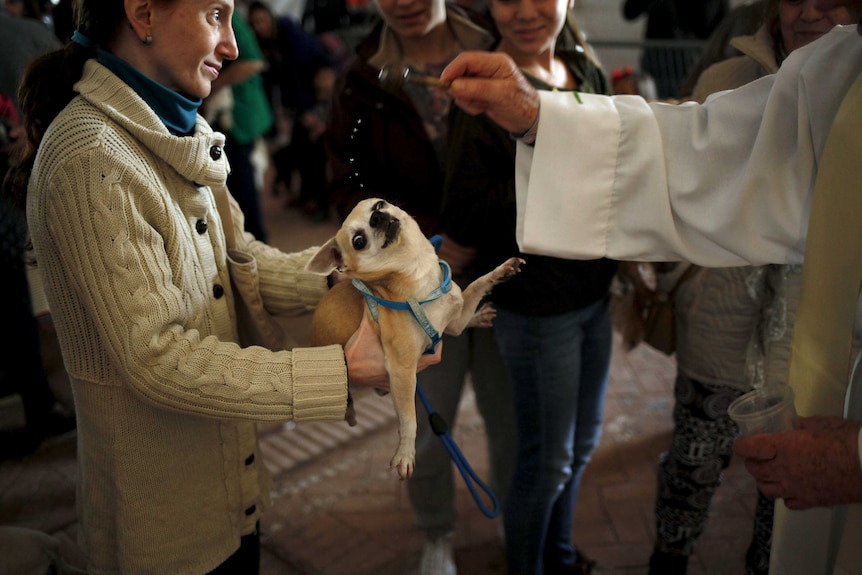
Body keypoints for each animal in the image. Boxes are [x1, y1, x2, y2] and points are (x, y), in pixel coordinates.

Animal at [308, 200, 524, 480]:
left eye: (378, 204)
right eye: (358, 241)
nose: (378, 217)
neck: (419, 278)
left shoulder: (454, 322)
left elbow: (475, 287)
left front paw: (498, 274)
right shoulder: (402, 371)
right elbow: (410, 418)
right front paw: (405, 452)